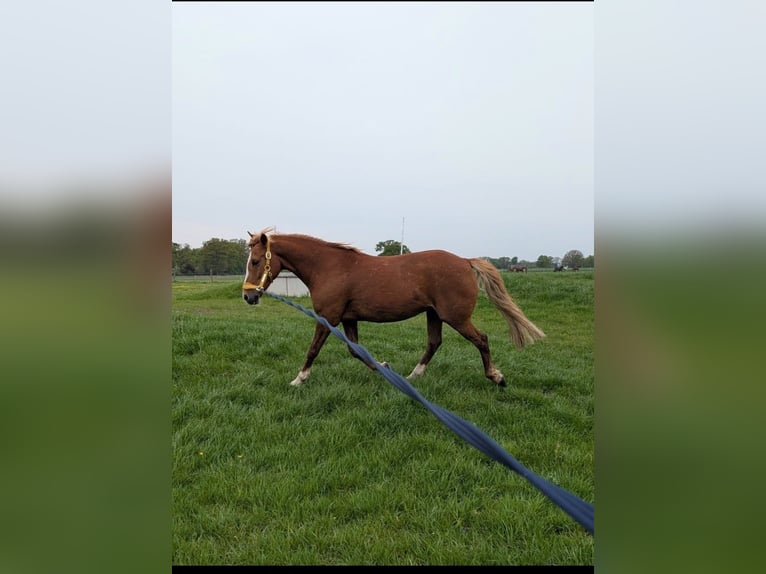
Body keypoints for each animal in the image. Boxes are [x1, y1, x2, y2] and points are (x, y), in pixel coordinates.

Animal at [242, 228, 546, 388]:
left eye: (256, 261)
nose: (248, 297)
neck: (329, 268)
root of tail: (464, 261)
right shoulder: (348, 319)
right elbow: (356, 351)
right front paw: (384, 366)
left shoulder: (328, 317)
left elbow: (313, 349)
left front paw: (298, 379)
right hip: (434, 314)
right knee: (434, 343)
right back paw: (414, 375)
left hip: (455, 317)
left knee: (481, 339)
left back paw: (496, 376)